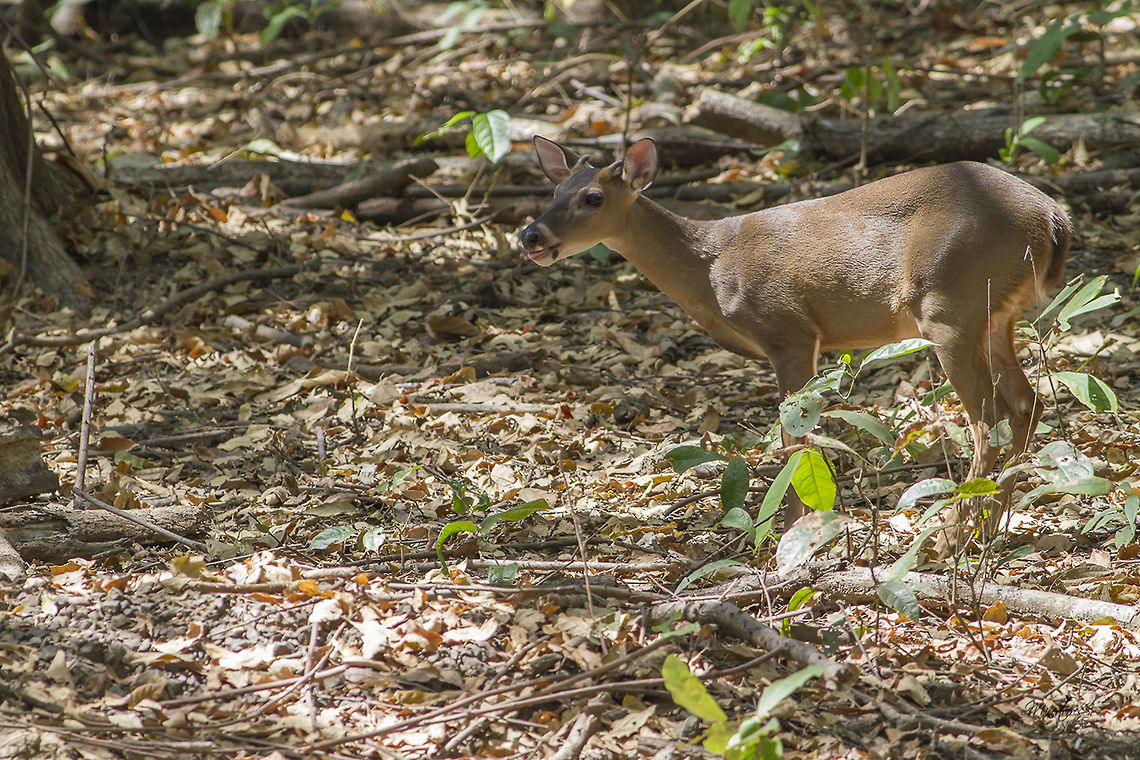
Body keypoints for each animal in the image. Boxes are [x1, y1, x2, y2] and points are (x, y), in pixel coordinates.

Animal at [518, 135, 1071, 550]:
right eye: (555, 189)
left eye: (593, 197)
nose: (530, 235)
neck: (710, 267)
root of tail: (1051, 216)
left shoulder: (789, 330)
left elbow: (793, 441)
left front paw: (791, 536)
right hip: (994, 317)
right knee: (1027, 403)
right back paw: (990, 528)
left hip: (948, 306)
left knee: (988, 418)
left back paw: (951, 537)